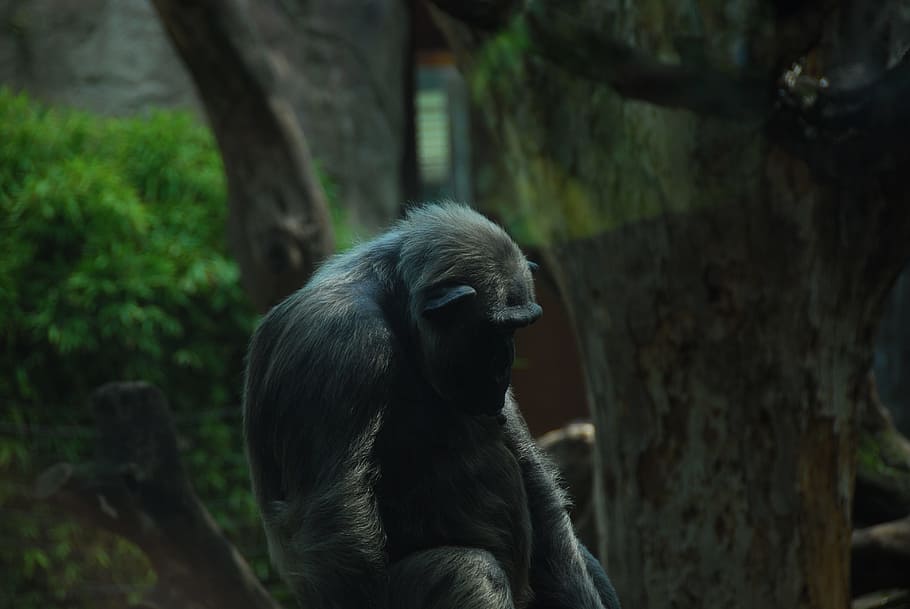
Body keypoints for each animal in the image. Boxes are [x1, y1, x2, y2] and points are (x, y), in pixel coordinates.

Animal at [242, 203, 620, 609]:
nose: (506, 362)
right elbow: (336, 516)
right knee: (471, 573)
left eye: (519, 329)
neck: (396, 308)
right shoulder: (341, 345)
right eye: (500, 329)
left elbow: (534, 477)